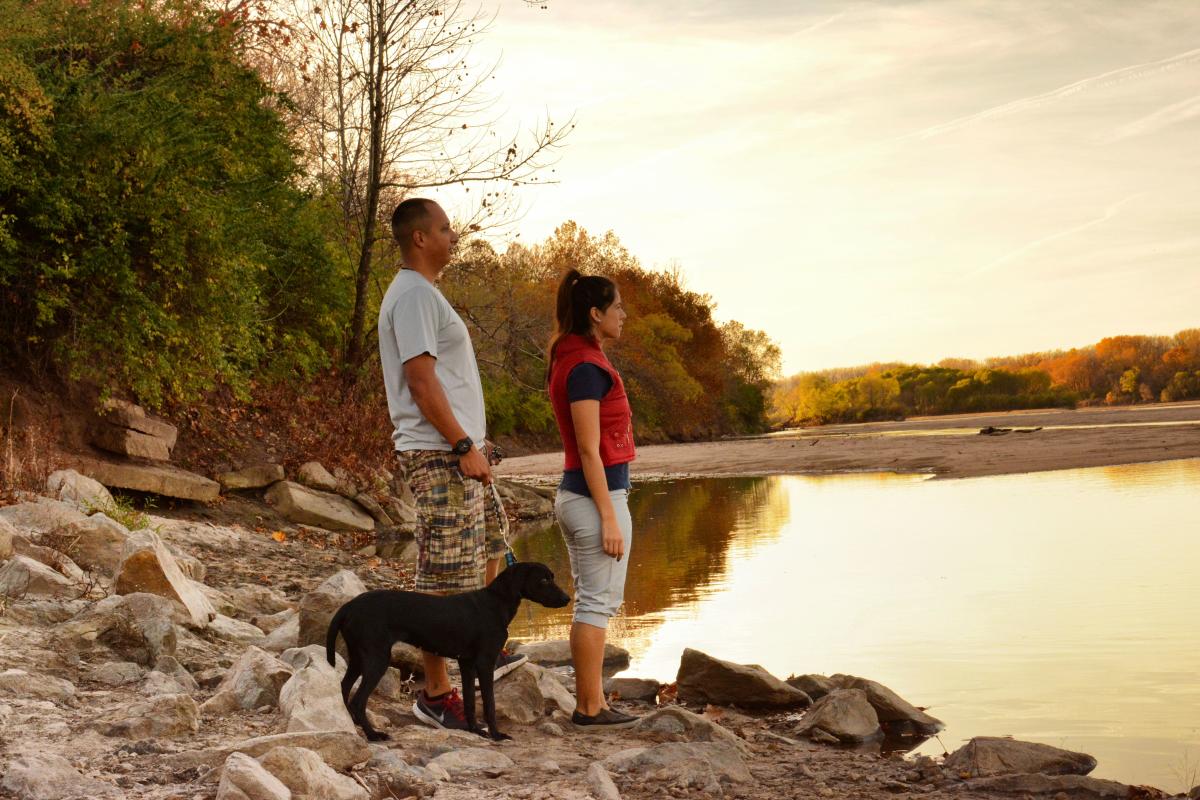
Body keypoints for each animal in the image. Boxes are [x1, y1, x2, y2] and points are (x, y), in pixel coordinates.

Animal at [326, 561, 568, 743]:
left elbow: (470, 702)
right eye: (544, 580)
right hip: (377, 660)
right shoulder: (485, 663)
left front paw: (475, 730)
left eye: (552, 577)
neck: (495, 603)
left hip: (359, 658)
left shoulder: (467, 664)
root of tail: (349, 606)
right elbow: (489, 704)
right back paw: (373, 735)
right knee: (358, 701)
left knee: (343, 688)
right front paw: (496, 735)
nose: (567, 599)